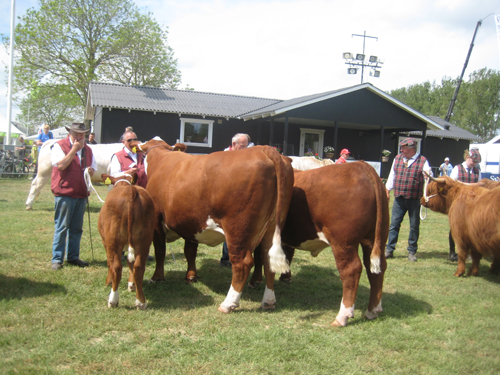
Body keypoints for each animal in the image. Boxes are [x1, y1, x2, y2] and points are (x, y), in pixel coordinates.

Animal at [96, 172, 153, 310]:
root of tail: (130, 190)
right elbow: (130, 263)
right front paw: (131, 285)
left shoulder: (106, 242)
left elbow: (110, 264)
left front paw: (108, 282)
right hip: (144, 240)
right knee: (138, 266)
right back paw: (141, 302)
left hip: (113, 240)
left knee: (116, 267)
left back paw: (113, 300)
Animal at [129, 138, 294, 314]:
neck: (160, 160)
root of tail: (264, 149)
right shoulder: (190, 224)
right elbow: (190, 252)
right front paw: (191, 276)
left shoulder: (157, 222)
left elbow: (160, 252)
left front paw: (157, 277)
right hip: (272, 227)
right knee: (268, 260)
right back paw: (268, 301)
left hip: (238, 230)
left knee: (242, 263)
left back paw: (228, 303)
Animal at [249, 163, 386, 328]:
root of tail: (361, 166)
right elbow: (285, 255)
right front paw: (285, 276)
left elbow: (259, 258)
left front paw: (255, 280)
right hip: (374, 240)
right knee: (376, 269)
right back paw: (372, 310)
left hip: (343, 243)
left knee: (351, 270)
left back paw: (342, 317)